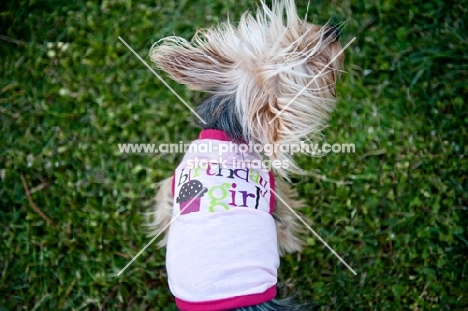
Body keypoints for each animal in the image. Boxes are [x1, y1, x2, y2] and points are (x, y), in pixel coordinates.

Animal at [149, 1, 344, 310]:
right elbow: (287, 223)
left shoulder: (168, 191)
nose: (333, 30)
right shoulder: (276, 195)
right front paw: (293, 244)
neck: (228, 129)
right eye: (309, 59)